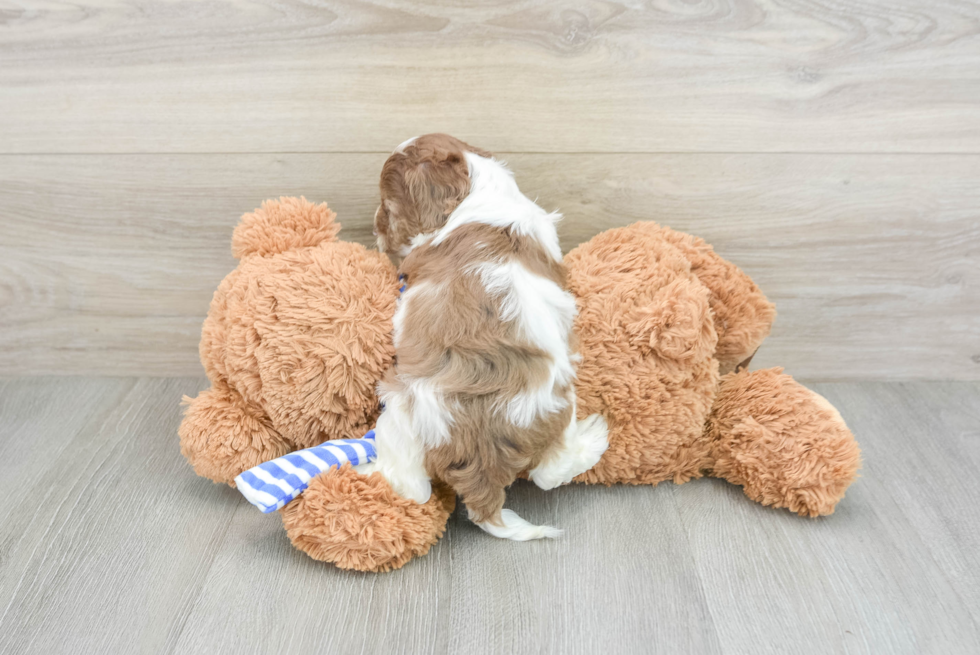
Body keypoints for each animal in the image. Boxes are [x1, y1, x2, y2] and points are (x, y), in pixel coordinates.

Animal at [364, 136, 604, 540]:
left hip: (397, 410)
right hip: (559, 404)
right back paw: (594, 440)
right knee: (549, 472)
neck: (482, 190)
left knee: (413, 488)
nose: (375, 227)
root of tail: (483, 463)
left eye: (387, 205)